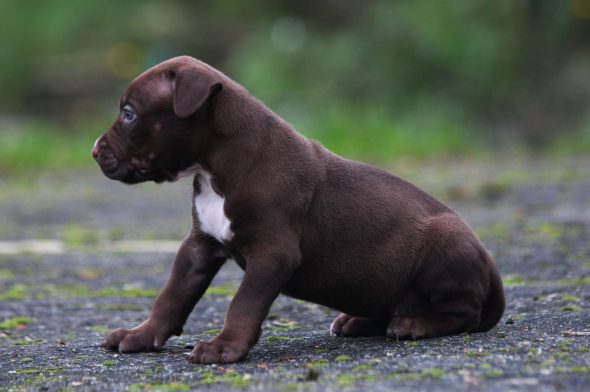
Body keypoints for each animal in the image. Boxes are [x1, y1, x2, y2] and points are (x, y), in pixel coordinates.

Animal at [95, 55, 506, 364]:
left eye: (129, 114)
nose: (95, 151)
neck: (216, 170)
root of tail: (489, 264)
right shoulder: (198, 246)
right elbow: (171, 296)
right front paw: (141, 335)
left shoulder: (272, 253)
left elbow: (243, 303)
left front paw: (224, 346)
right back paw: (361, 321)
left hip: (447, 246)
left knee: (465, 313)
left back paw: (415, 323)